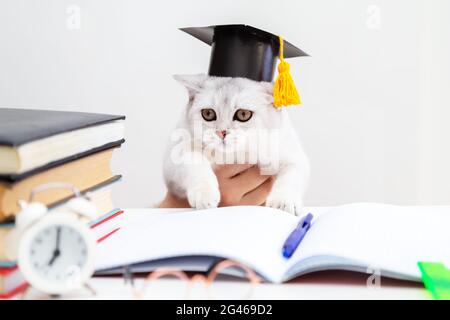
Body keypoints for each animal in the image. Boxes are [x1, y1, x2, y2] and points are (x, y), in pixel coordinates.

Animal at [164, 74, 310, 215]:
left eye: (243, 114)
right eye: (208, 113)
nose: (222, 132)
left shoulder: (293, 156)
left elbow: (291, 176)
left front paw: (283, 202)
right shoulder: (174, 160)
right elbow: (195, 163)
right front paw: (205, 194)